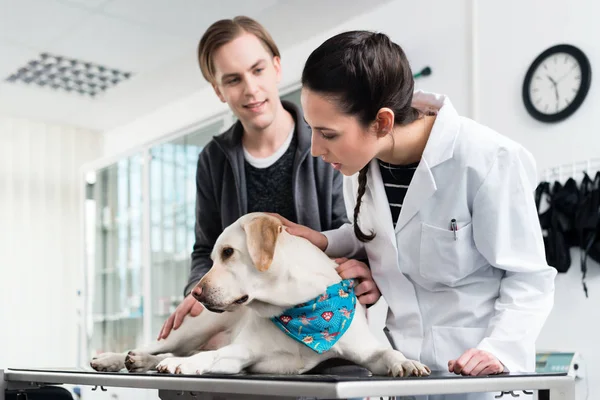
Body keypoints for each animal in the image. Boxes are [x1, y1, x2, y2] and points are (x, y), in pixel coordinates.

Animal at [90, 212, 432, 378]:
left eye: (228, 252)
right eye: (213, 257)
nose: (196, 294)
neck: (302, 309)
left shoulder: (367, 352)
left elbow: (387, 354)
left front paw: (407, 363)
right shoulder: (242, 352)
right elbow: (207, 356)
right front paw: (181, 366)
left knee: (168, 353)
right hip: (190, 330)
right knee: (160, 347)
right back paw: (114, 358)